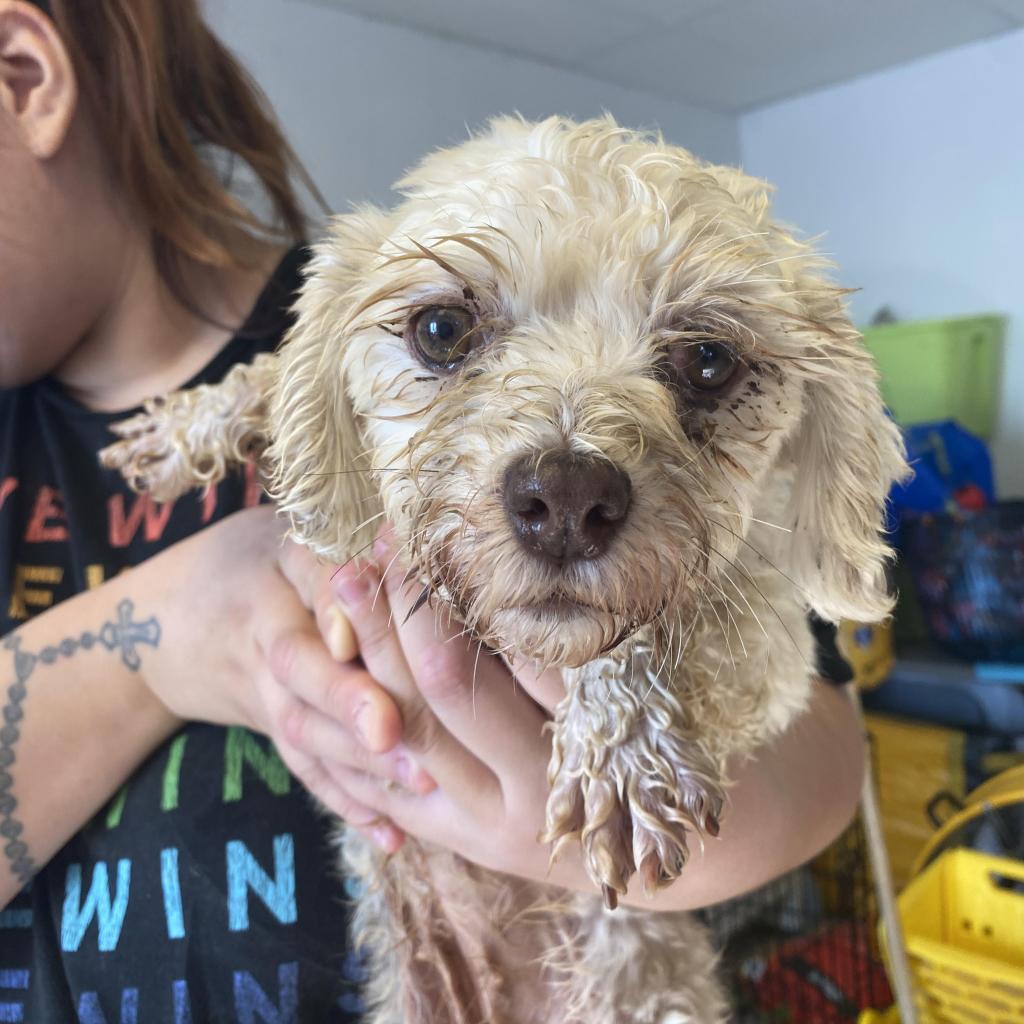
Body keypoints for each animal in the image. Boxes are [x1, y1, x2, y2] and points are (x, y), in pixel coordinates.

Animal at [99, 116, 909, 1024]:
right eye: (440, 329)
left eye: (709, 358)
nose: (566, 499)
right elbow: (272, 373)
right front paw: (189, 425)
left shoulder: (770, 638)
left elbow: (660, 628)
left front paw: (623, 750)